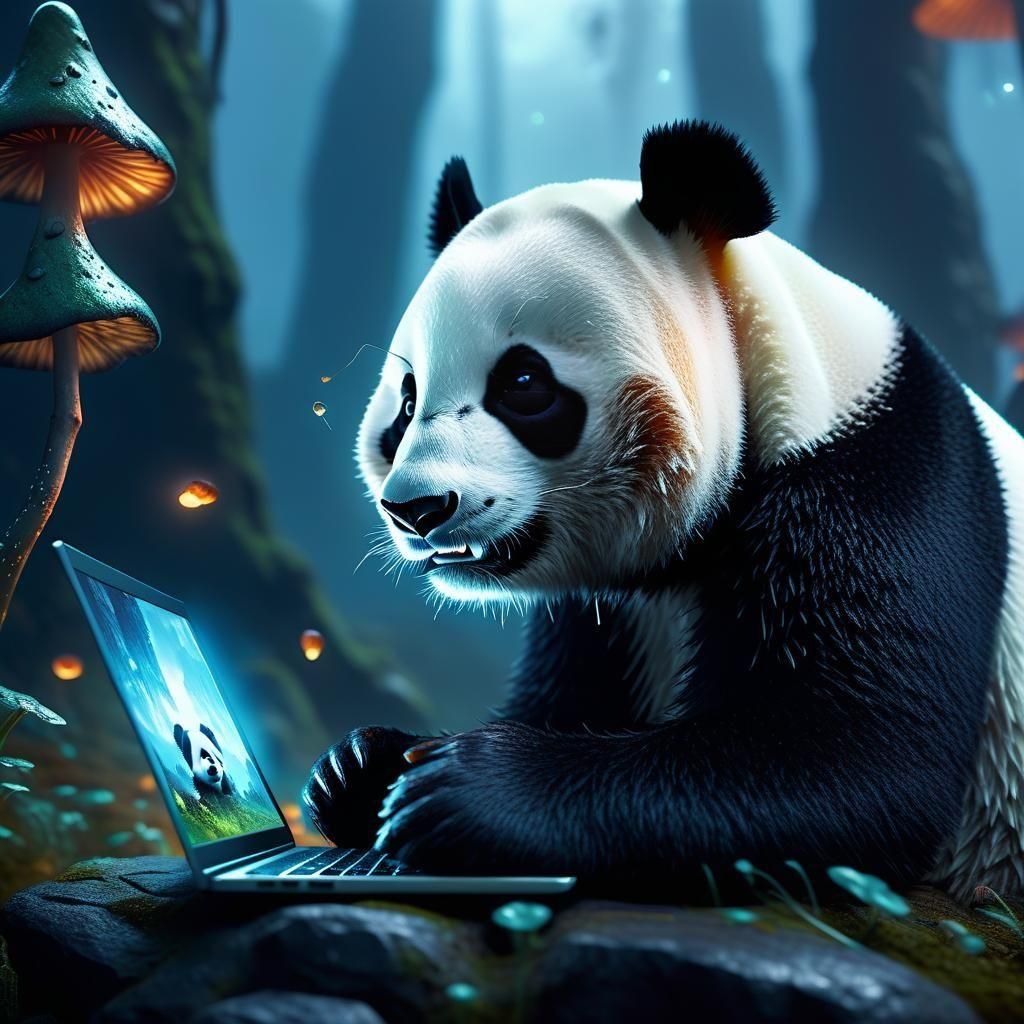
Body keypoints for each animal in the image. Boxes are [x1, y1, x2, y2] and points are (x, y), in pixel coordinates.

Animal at [304, 121, 1024, 901]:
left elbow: (854, 757)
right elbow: (568, 697)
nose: (416, 508)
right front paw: (361, 766)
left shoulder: (879, 479)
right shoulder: (610, 608)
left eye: (523, 383)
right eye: (406, 402)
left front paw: (467, 791)